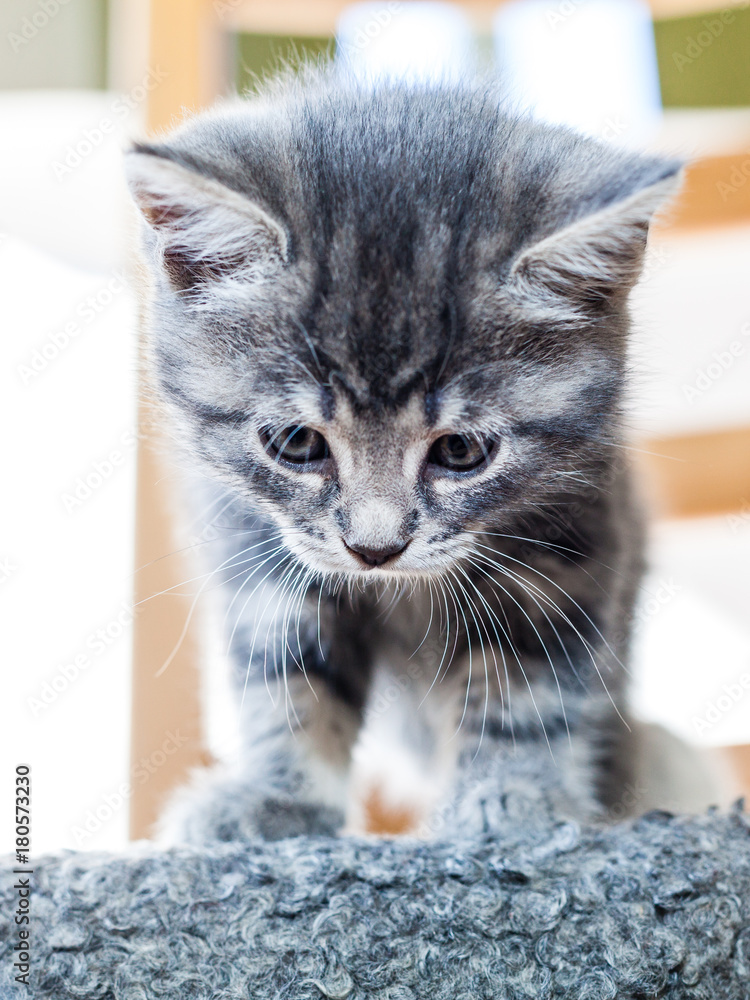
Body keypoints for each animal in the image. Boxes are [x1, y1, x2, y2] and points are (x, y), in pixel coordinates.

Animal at [125, 66, 680, 840]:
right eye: (297, 443)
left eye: (460, 450)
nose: (375, 549)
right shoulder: (252, 537)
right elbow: (288, 667)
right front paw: (278, 798)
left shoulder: (574, 530)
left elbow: (530, 676)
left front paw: (516, 800)